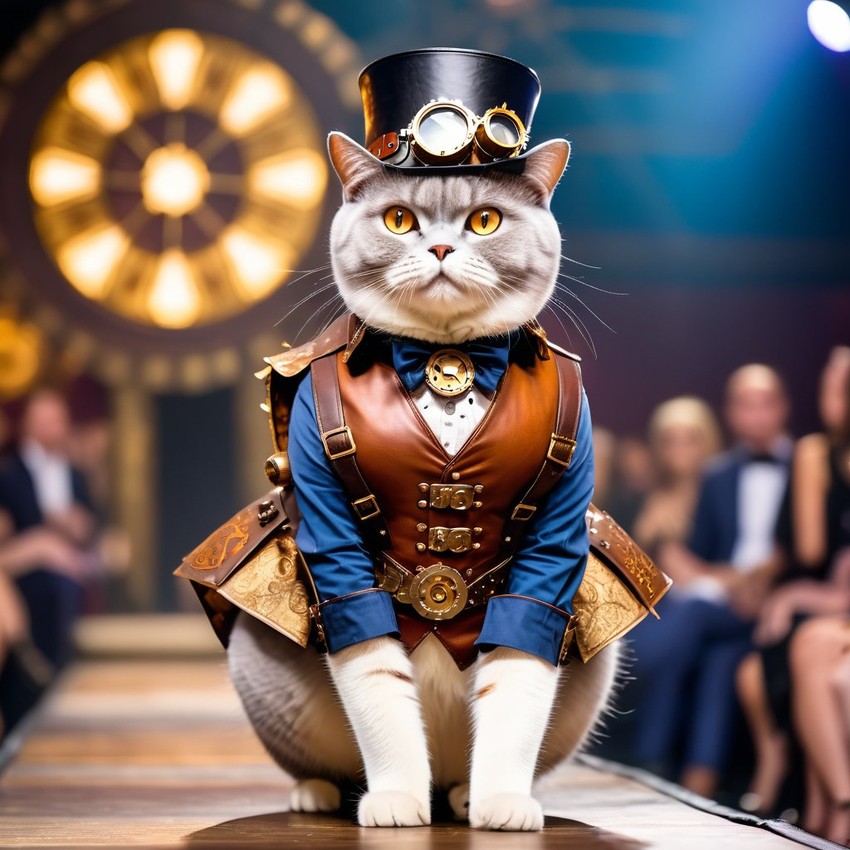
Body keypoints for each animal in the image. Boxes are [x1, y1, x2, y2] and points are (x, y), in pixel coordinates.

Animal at [225, 132, 616, 828]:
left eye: (485, 221)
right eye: (399, 219)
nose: (438, 248)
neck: (443, 357)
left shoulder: (554, 535)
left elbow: (517, 673)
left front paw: (502, 804)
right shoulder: (335, 537)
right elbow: (376, 678)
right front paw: (396, 801)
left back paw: (461, 795)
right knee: (318, 762)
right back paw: (318, 795)